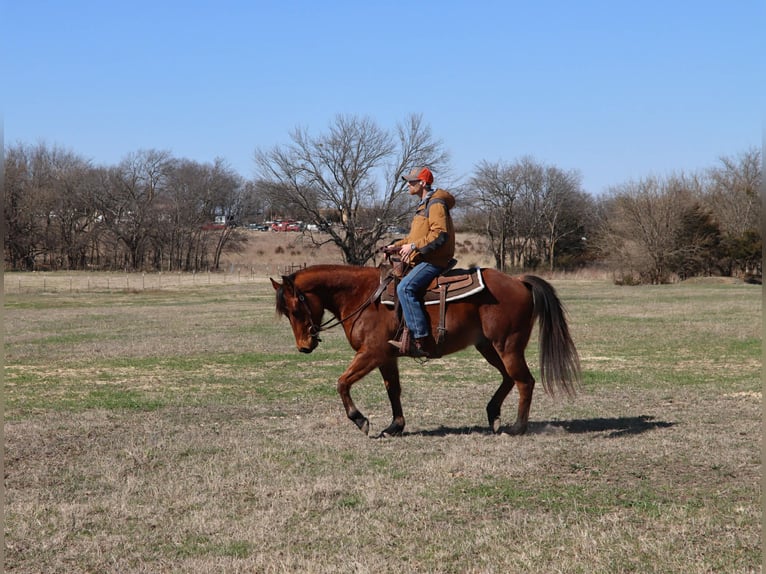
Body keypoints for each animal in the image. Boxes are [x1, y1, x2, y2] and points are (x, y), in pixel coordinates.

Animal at [271, 264, 580, 437]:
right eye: (286, 313)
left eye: (296, 309)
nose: (304, 346)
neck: (364, 296)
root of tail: (518, 281)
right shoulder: (386, 357)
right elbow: (393, 390)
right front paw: (395, 426)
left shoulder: (371, 354)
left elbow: (342, 383)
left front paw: (361, 420)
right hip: (489, 347)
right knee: (509, 379)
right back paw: (493, 414)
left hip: (508, 346)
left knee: (524, 381)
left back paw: (517, 427)